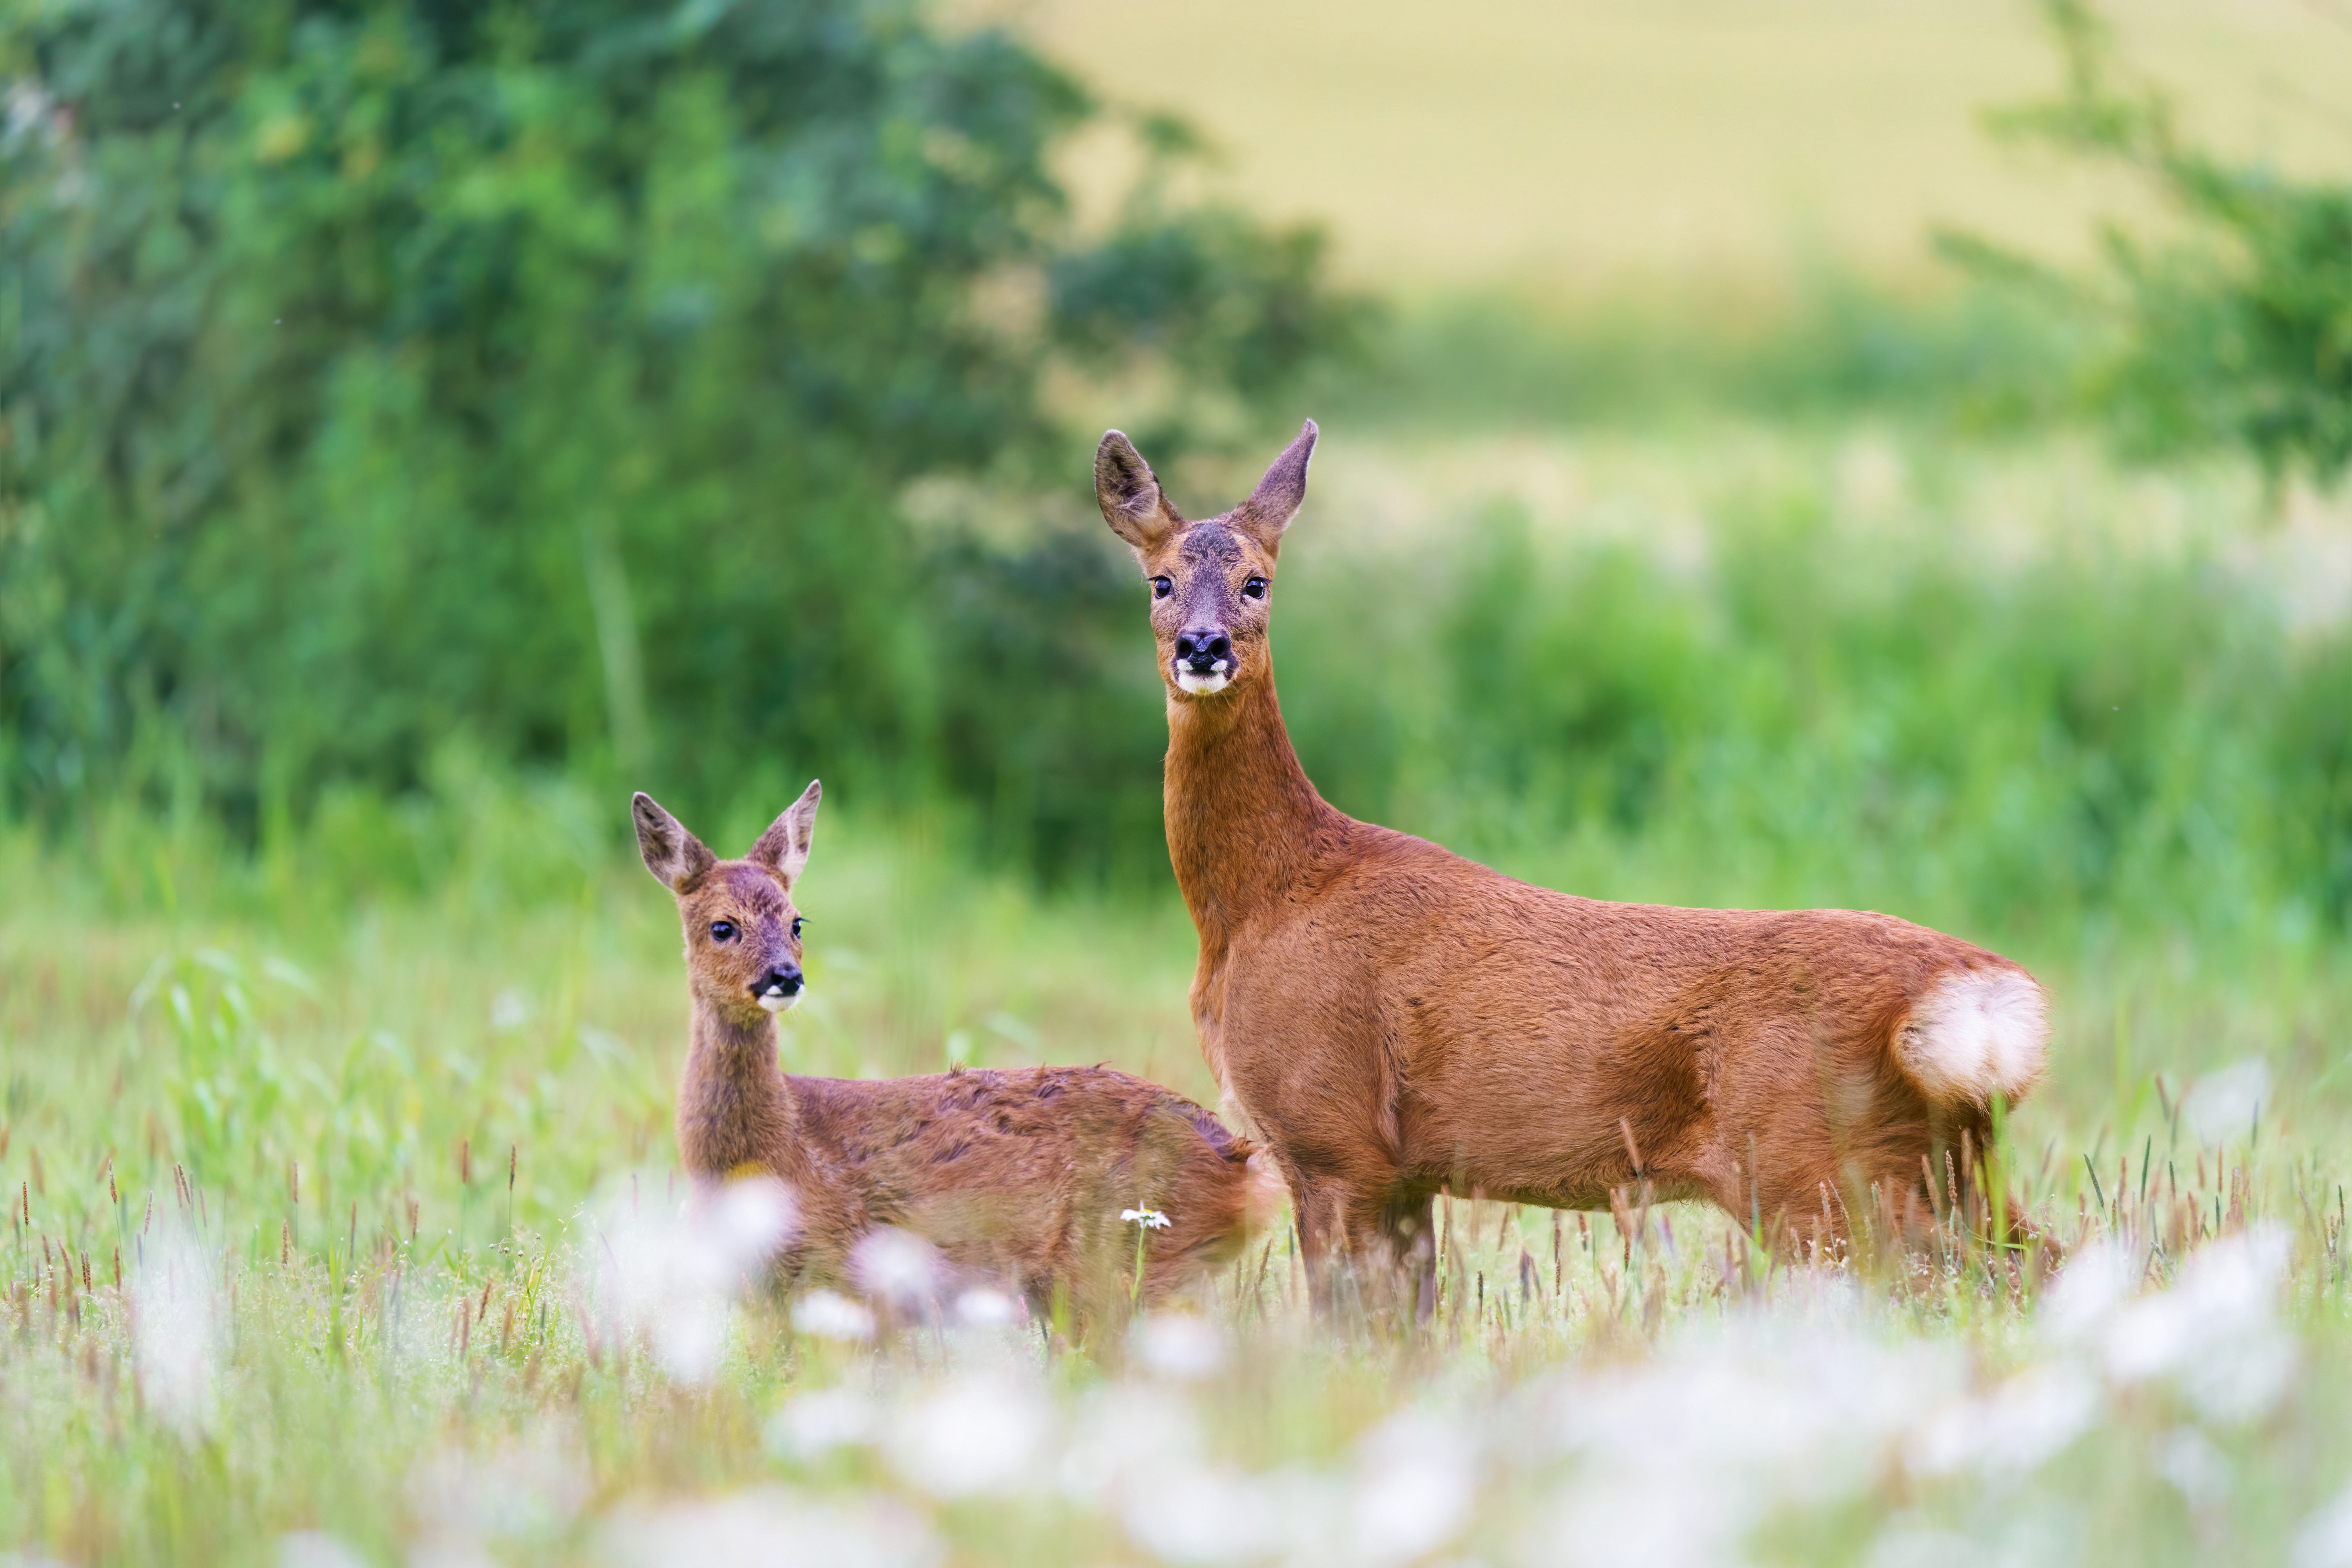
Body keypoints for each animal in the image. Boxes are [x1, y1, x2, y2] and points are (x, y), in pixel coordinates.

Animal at [635, 785, 1279, 1326]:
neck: (783, 1142)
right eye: (723, 927)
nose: (785, 977)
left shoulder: (858, 1279)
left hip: (1121, 1267)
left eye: (797, 922)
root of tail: (1242, 1164)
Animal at [1091, 423, 2051, 1307]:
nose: (1204, 646)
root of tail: (1979, 1003)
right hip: (1946, 1162)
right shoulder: (1402, 1171)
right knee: (2036, 1261)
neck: (1267, 899)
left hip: (1817, 1166)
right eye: (1160, 581)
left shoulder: (1330, 1133)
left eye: (1258, 581)